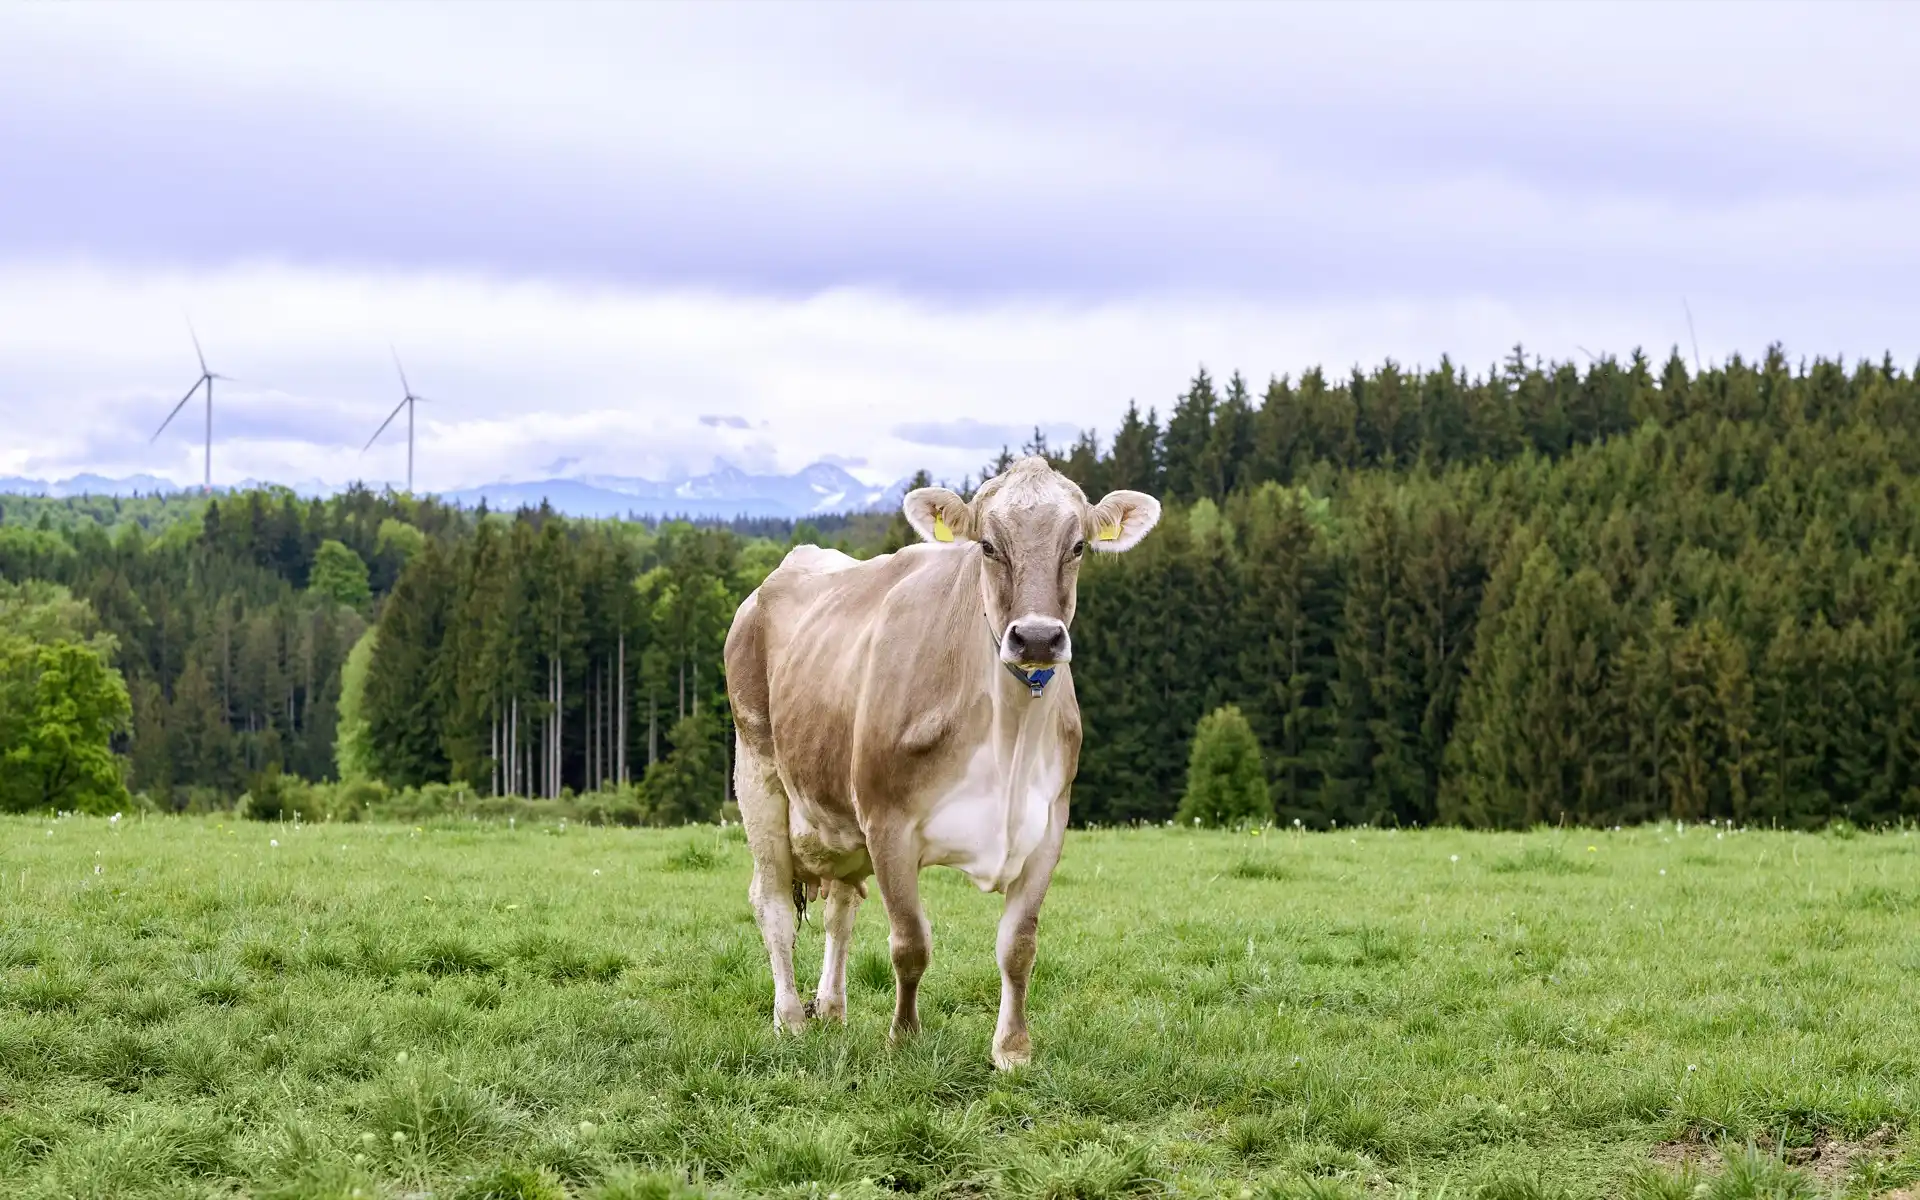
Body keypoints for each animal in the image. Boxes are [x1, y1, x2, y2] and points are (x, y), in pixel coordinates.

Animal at [723, 456, 1161, 1068]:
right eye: (987, 546)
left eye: (1077, 546)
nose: (1037, 638)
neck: (1008, 742)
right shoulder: (887, 823)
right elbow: (910, 942)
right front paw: (903, 1038)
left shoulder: (1048, 827)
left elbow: (1019, 945)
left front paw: (1013, 1050)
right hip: (757, 769)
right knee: (772, 905)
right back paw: (791, 1018)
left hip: (837, 820)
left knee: (840, 907)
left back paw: (830, 1007)